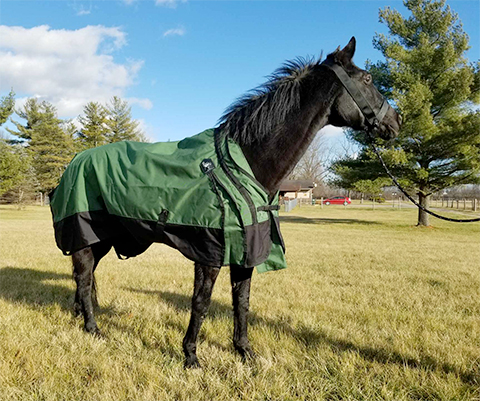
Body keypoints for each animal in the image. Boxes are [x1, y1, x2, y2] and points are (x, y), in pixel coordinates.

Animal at [67, 38, 402, 368]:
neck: (243, 163)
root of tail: (76, 161)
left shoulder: (247, 251)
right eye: (367, 79)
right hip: (85, 236)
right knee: (84, 277)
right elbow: (201, 302)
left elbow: (241, 301)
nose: (397, 120)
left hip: (101, 239)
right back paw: (93, 328)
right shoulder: (209, 253)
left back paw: (81, 317)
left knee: (87, 278)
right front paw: (191, 356)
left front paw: (244, 352)